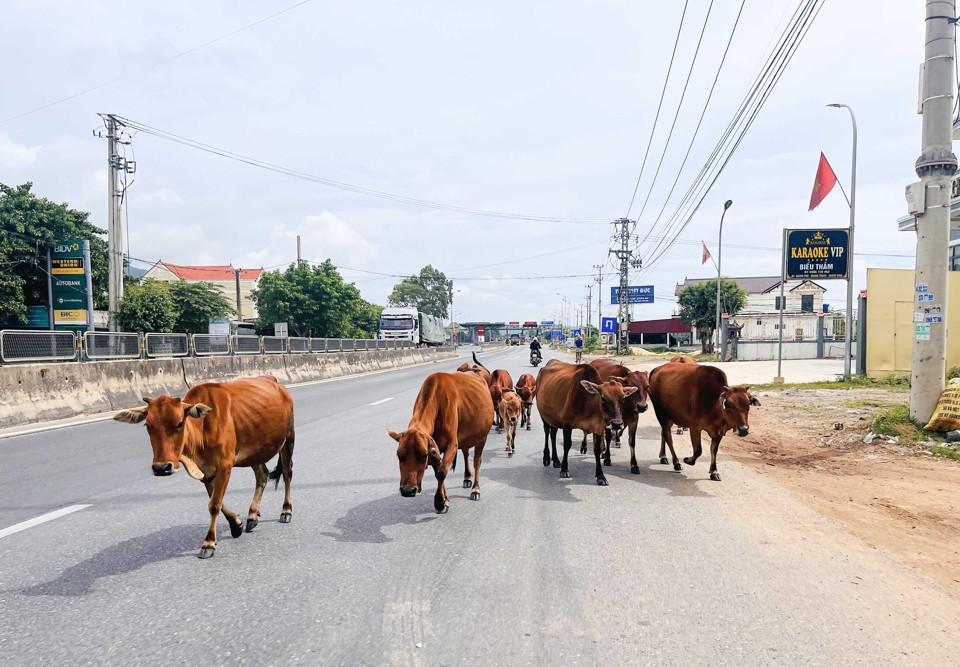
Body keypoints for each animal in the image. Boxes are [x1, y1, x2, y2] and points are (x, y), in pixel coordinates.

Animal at [113, 376, 294, 560]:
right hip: (255, 451)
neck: (202, 428)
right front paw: (236, 524)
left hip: (288, 438)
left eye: (180, 423)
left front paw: (209, 543)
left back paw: (286, 511)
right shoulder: (205, 472)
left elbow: (214, 504)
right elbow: (216, 501)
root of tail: (272, 380)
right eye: (148, 425)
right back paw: (252, 516)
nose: (161, 468)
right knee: (262, 475)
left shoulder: (224, 466)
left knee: (287, 473)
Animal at [388, 370, 496, 512]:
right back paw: (467, 477)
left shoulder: (451, 445)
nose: (407, 490)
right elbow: (437, 472)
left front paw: (439, 502)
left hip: (482, 437)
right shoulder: (435, 450)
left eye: (424, 455)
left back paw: (475, 489)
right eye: (399, 455)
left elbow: (441, 472)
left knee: (477, 461)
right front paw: (445, 500)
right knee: (466, 453)